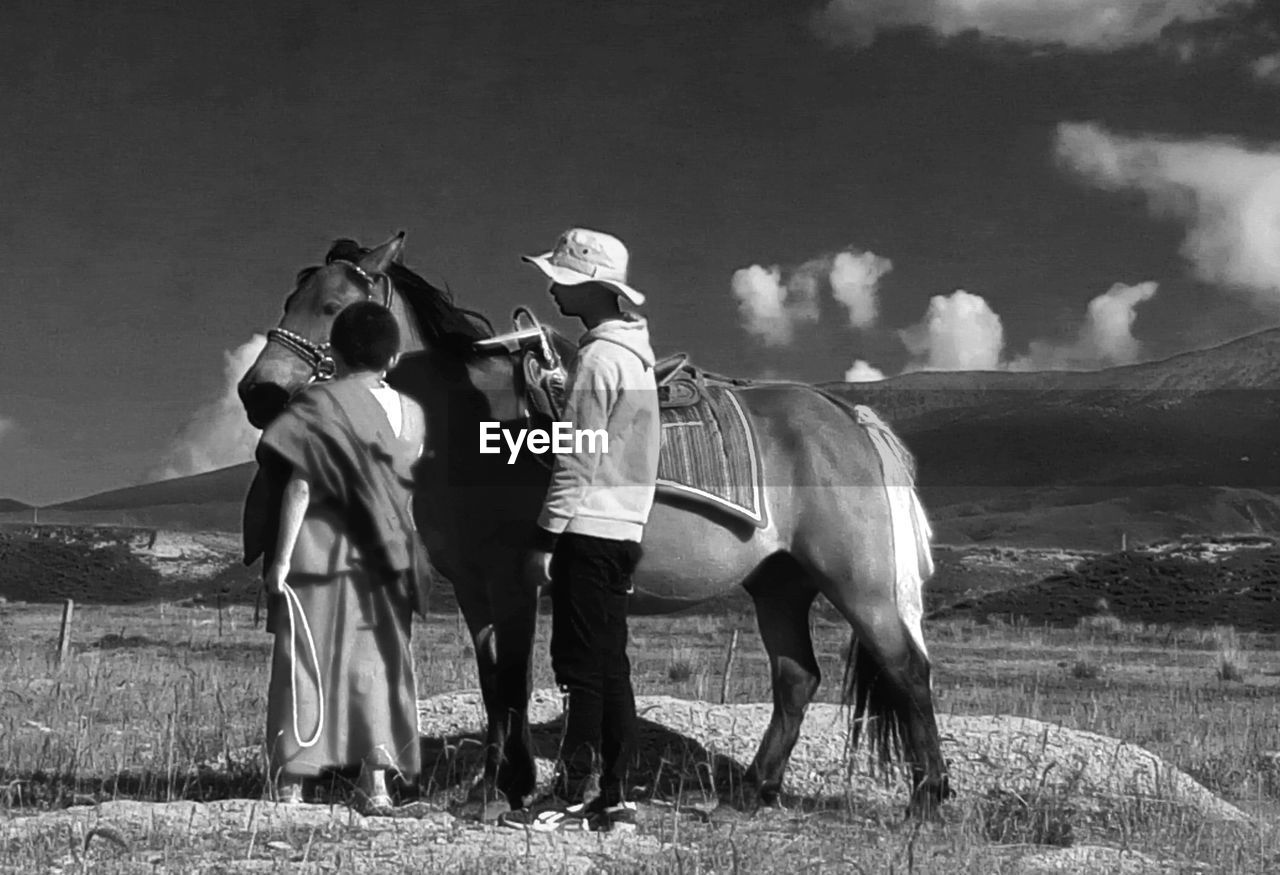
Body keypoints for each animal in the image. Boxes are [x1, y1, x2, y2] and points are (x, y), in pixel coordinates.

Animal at [238, 230, 952, 818]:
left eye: (335, 308)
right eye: (290, 300)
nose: (257, 392)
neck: (469, 422)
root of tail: (847, 415)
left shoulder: (515, 579)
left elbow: (513, 679)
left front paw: (504, 789)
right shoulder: (472, 586)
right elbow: (491, 681)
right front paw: (498, 785)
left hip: (857, 584)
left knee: (907, 669)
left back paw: (928, 798)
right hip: (779, 584)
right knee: (797, 677)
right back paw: (755, 789)